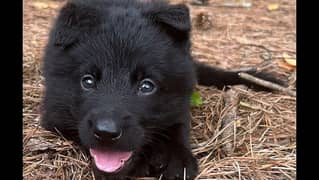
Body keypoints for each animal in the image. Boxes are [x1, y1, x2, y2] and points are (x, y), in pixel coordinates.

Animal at [40, 0, 284, 179]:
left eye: (147, 86)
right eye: (88, 81)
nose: (106, 132)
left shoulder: (181, 99)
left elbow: (178, 126)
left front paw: (178, 160)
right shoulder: (53, 113)